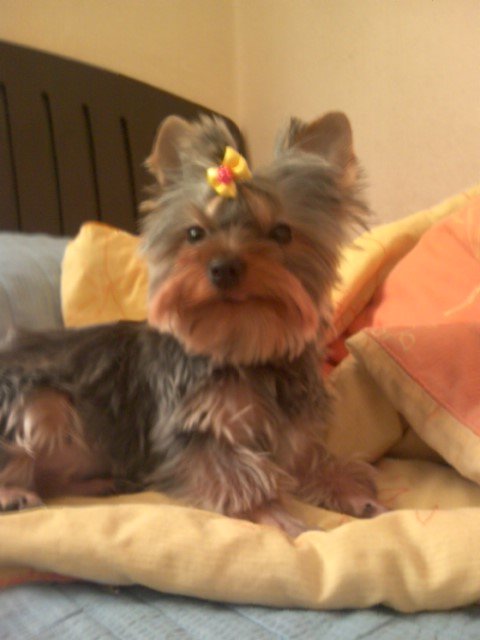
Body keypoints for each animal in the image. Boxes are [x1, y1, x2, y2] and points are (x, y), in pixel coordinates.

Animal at [0, 112, 384, 536]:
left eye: (282, 232)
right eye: (195, 233)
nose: (223, 266)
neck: (243, 345)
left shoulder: (293, 429)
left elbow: (310, 457)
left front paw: (350, 488)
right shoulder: (193, 430)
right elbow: (237, 477)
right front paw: (279, 517)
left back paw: (104, 482)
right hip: (39, 404)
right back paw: (15, 493)